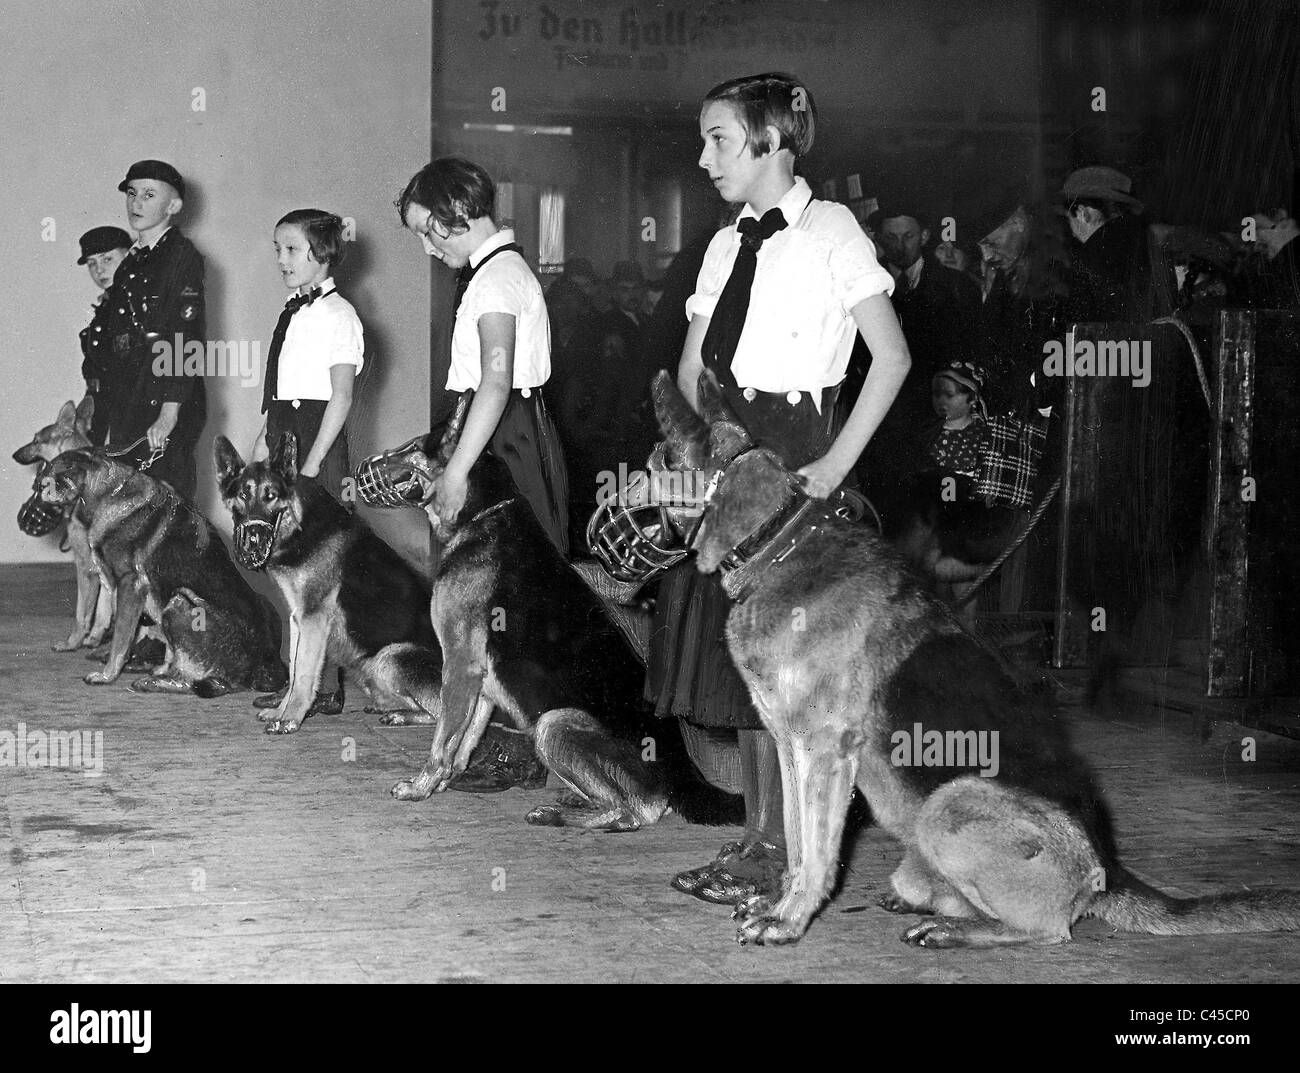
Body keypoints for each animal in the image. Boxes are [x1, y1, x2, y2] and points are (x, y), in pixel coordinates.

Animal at [12, 400, 114, 652]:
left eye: (36, 440)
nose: (14, 455)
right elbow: (102, 609)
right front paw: (94, 638)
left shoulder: (86, 567)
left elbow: (82, 613)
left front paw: (72, 642)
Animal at [35, 444, 287, 691]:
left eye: (54, 473)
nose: (37, 487)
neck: (109, 494)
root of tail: (265, 665)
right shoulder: (107, 581)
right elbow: (89, 617)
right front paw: (74, 645)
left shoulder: (129, 585)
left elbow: (120, 638)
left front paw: (107, 675)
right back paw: (159, 671)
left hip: (180, 599)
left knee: (194, 679)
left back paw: (155, 682)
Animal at [217, 431, 447, 733]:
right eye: (244, 494)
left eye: (271, 496)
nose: (253, 540)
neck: (300, 525)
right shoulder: (298, 618)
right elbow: (294, 669)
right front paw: (281, 711)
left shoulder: (313, 619)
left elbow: (303, 674)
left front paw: (290, 719)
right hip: (369, 669)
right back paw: (392, 710)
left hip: (390, 657)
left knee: (442, 713)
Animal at [371, 392, 743, 827]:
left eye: (410, 447)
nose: (365, 467)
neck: (484, 511)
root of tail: (684, 773)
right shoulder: (479, 679)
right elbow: (464, 738)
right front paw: (448, 779)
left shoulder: (460, 664)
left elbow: (443, 739)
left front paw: (421, 786)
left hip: (553, 724)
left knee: (635, 811)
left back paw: (557, 814)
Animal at [650, 369, 1300, 946]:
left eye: (654, 465)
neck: (778, 543)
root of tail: (1105, 872)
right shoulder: (791, 746)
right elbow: (795, 843)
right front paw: (780, 903)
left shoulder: (825, 753)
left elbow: (815, 854)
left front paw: (788, 922)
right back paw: (930, 904)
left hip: (952, 800)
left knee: (1049, 931)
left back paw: (951, 930)